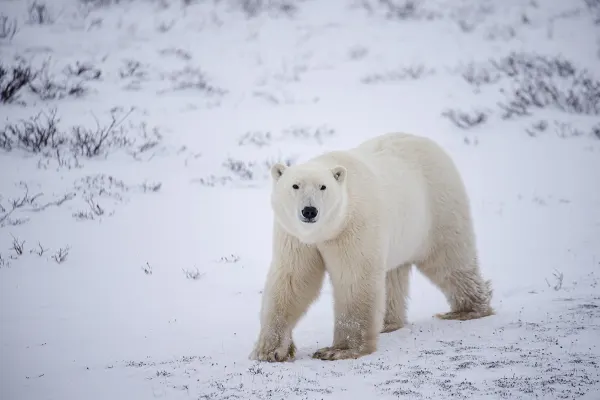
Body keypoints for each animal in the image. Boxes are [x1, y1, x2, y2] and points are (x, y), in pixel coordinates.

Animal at [248, 132, 492, 362]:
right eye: (295, 185)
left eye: (323, 187)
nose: (309, 211)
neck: (327, 230)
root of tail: (430, 144)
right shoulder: (295, 237)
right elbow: (292, 279)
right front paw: (269, 350)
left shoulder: (354, 226)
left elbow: (354, 279)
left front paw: (338, 350)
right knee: (393, 274)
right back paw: (388, 323)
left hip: (438, 208)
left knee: (450, 259)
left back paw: (468, 310)